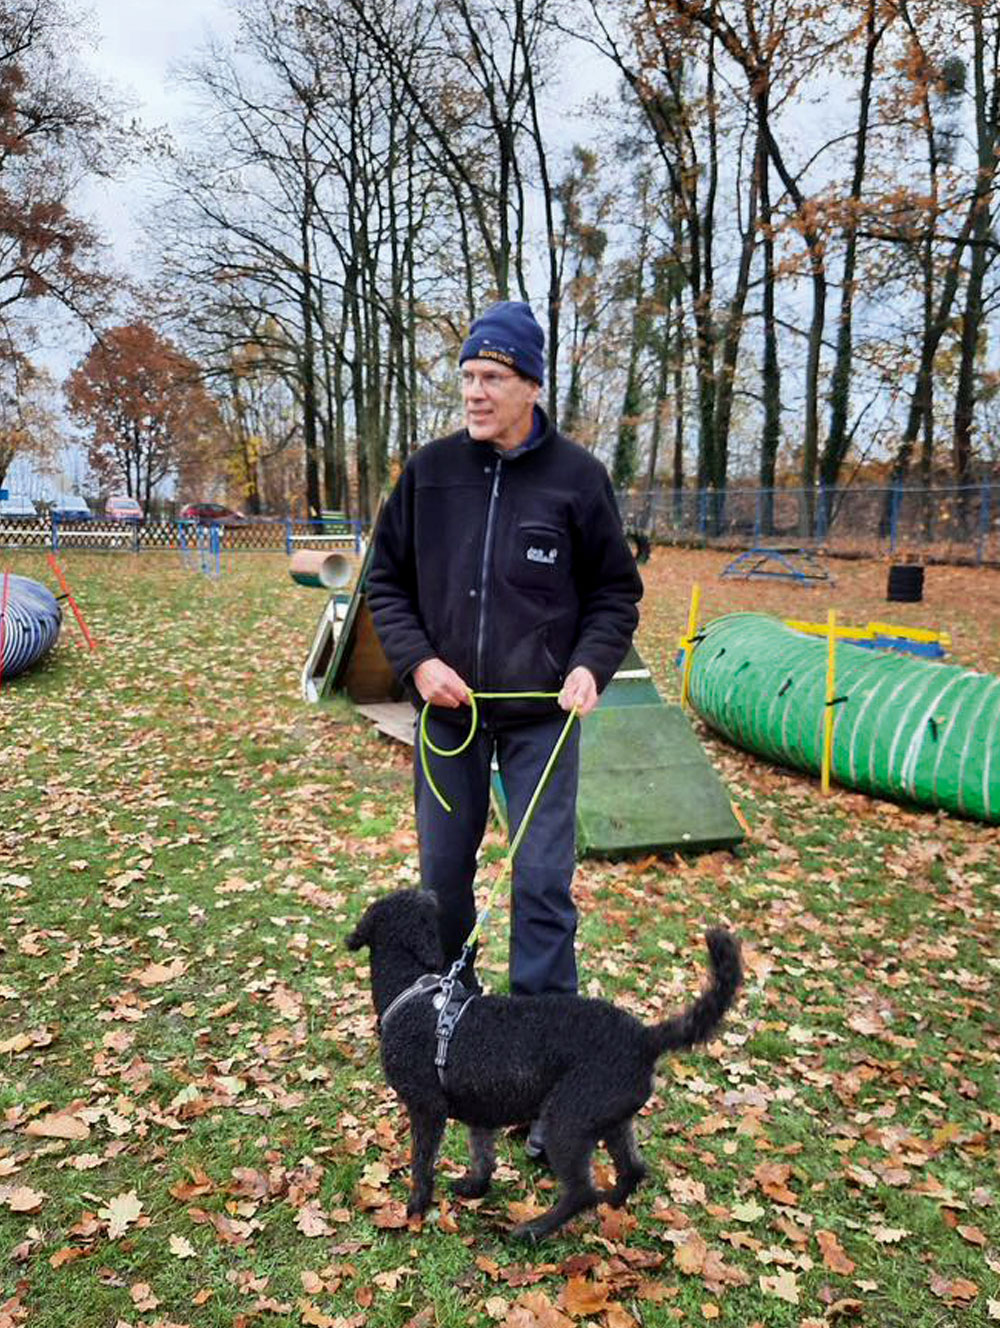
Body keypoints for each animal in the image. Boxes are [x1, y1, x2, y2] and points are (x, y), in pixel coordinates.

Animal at [345, 889, 742, 1241]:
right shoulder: (481, 1111)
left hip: (566, 1122)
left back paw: (533, 1229)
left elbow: (421, 1163)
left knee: (582, 1192)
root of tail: (646, 1038)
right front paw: (475, 1188)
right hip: (610, 1119)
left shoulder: (427, 1108)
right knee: (632, 1169)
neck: (411, 992)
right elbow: (483, 1156)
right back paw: (611, 1204)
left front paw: (414, 1209)